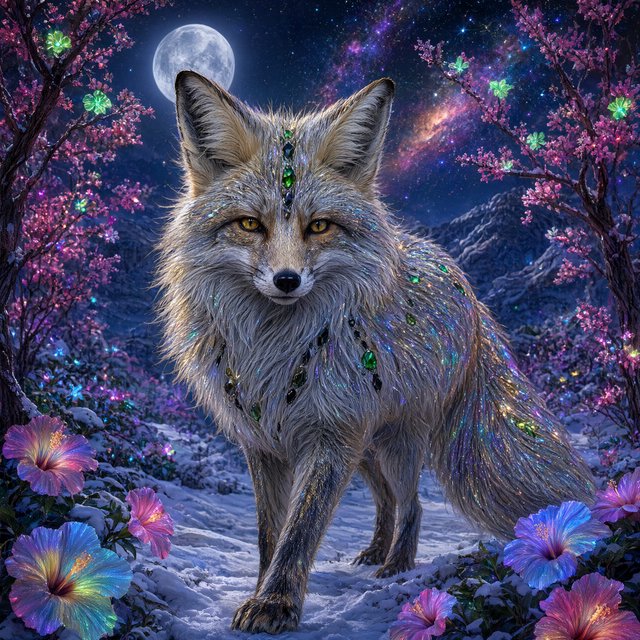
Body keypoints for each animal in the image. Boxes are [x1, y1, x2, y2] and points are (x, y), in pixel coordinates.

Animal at [156, 71, 595, 634]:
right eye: (250, 225)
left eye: (319, 226)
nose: (286, 280)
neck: (273, 347)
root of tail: (465, 288)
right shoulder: (265, 443)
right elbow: (270, 535)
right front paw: (262, 591)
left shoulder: (329, 435)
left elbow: (301, 531)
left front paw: (276, 603)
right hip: (366, 444)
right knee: (385, 498)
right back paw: (376, 552)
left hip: (394, 441)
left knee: (412, 503)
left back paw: (398, 564)